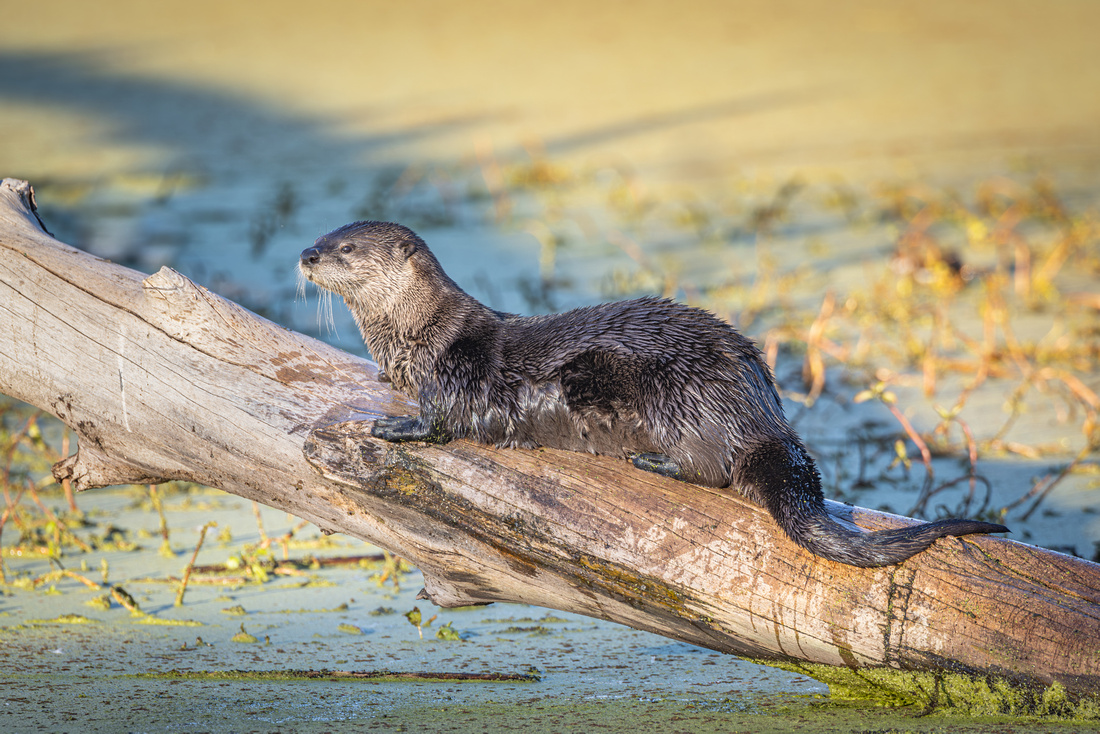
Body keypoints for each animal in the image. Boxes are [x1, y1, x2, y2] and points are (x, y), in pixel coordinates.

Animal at [299, 221, 1007, 567]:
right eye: (325, 237)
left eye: (345, 248)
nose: (306, 255)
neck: (416, 335)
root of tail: (761, 406)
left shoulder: (456, 375)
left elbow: (445, 422)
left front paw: (394, 428)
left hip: (672, 390)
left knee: (716, 470)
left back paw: (653, 461)